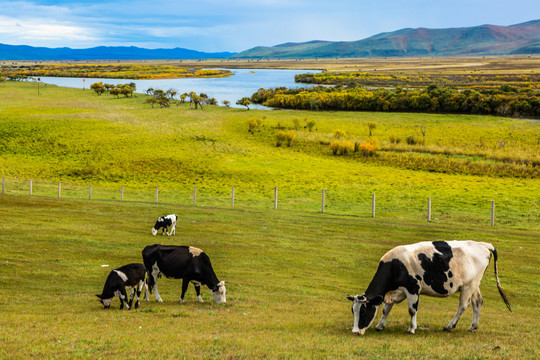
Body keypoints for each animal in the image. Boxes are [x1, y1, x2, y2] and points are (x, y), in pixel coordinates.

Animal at [346, 240, 510, 336]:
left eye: (364, 311)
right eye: (353, 311)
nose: (355, 332)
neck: (395, 265)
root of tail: (483, 244)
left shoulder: (413, 289)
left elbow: (412, 310)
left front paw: (412, 328)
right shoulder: (395, 291)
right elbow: (386, 309)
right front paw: (380, 325)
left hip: (468, 286)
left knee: (464, 305)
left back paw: (449, 326)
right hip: (474, 284)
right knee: (477, 302)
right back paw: (472, 327)